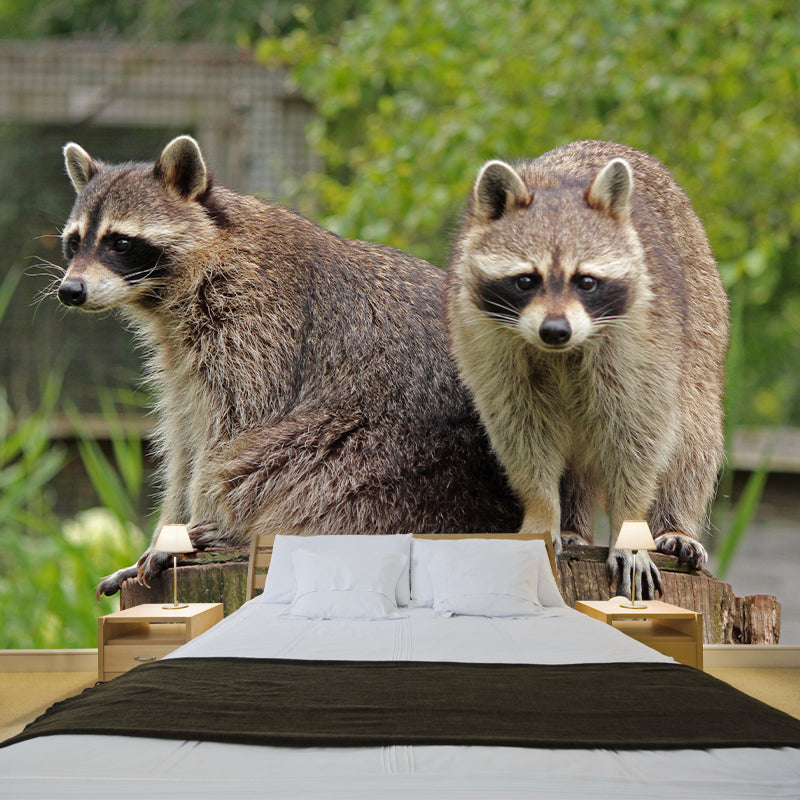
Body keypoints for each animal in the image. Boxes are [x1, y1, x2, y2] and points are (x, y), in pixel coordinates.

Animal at [58, 136, 521, 597]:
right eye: (74, 242)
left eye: (120, 242)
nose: (70, 290)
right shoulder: (179, 355)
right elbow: (185, 436)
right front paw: (169, 527)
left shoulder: (261, 323)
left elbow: (233, 431)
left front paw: (190, 529)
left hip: (393, 458)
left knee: (284, 461)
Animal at [446, 140, 728, 599]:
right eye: (526, 280)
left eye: (586, 281)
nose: (555, 330)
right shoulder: (487, 344)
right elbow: (521, 432)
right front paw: (543, 510)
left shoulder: (643, 344)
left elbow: (639, 436)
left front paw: (629, 524)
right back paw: (573, 526)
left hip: (703, 319)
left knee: (692, 434)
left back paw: (675, 521)